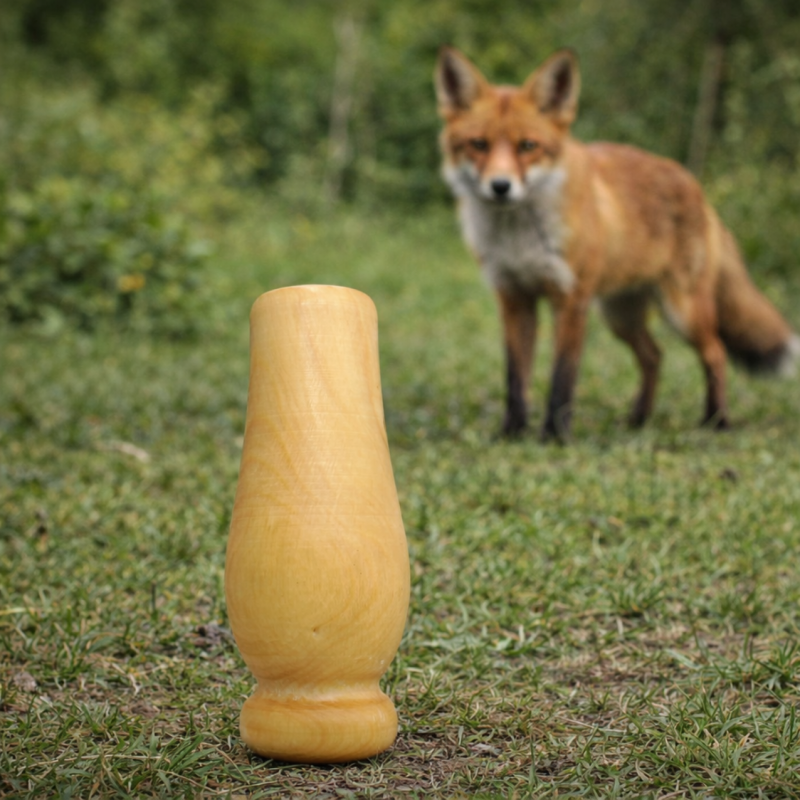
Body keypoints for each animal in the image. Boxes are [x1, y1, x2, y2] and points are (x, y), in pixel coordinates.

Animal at [435, 46, 799, 442]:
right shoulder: (514, 298)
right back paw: (639, 419)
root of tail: (695, 186)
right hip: (619, 315)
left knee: (715, 352)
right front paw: (512, 432)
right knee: (654, 356)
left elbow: (562, 377)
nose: (500, 187)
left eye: (528, 146)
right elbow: (516, 378)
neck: (519, 238)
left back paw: (716, 421)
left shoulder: (571, 300)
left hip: (682, 310)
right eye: (479, 145)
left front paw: (555, 436)